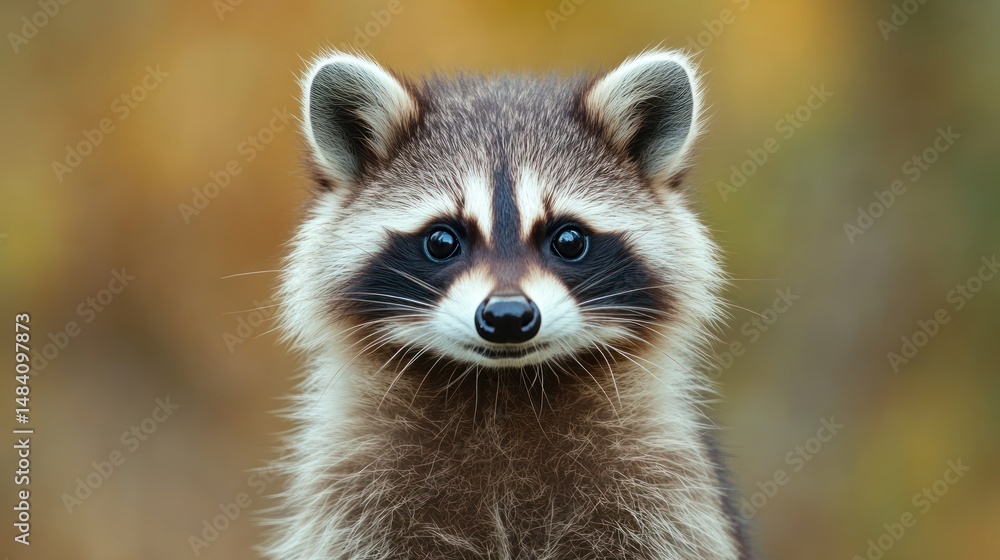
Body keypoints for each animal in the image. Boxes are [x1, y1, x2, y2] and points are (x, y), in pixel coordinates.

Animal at [263, 50, 752, 559]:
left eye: (569, 240)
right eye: (442, 241)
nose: (508, 317)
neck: (503, 386)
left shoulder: (665, 490)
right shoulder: (351, 493)